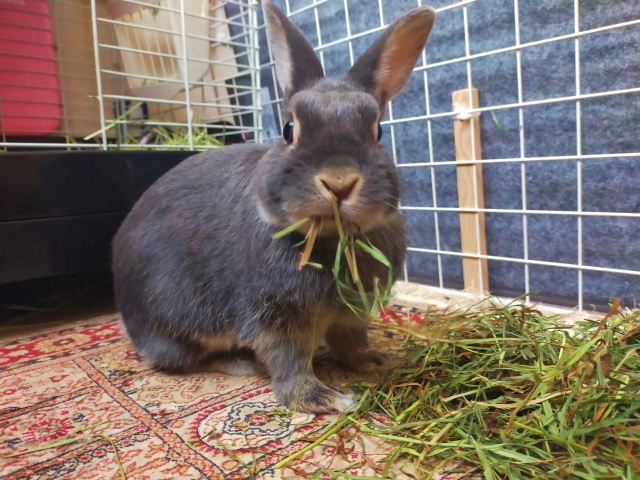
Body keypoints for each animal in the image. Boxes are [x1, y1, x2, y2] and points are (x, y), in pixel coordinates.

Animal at [112, 0, 438, 412]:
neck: (332, 240)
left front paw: (377, 361)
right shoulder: (274, 317)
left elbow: (351, 343)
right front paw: (324, 398)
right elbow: (288, 360)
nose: (338, 182)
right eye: (288, 130)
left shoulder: (350, 314)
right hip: (177, 317)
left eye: (377, 132)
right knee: (179, 358)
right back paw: (238, 363)